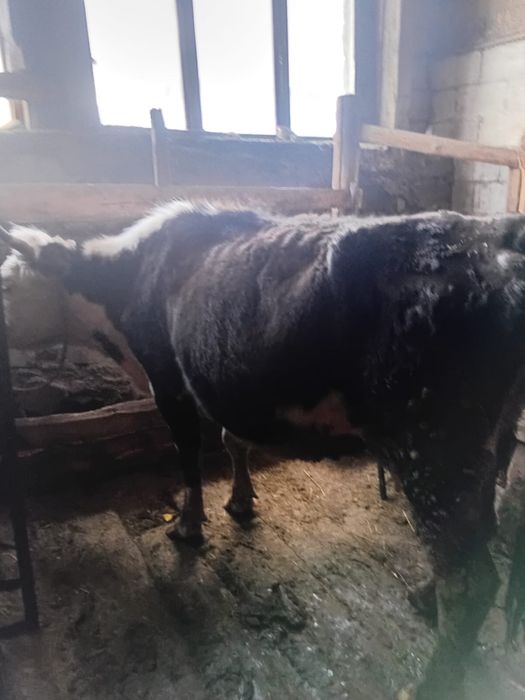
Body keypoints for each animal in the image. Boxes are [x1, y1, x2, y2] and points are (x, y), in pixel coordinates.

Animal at [3, 202, 525, 699]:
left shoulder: (169, 382)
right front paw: (240, 500)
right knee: (474, 533)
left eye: (6, 285)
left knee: (470, 578)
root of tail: (496, 233)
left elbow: (189, 457)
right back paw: (424, 593)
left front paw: (189, 525)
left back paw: (432, 680)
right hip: (479, 447)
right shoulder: (224, 385)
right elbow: (232, 442)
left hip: (430, 442)